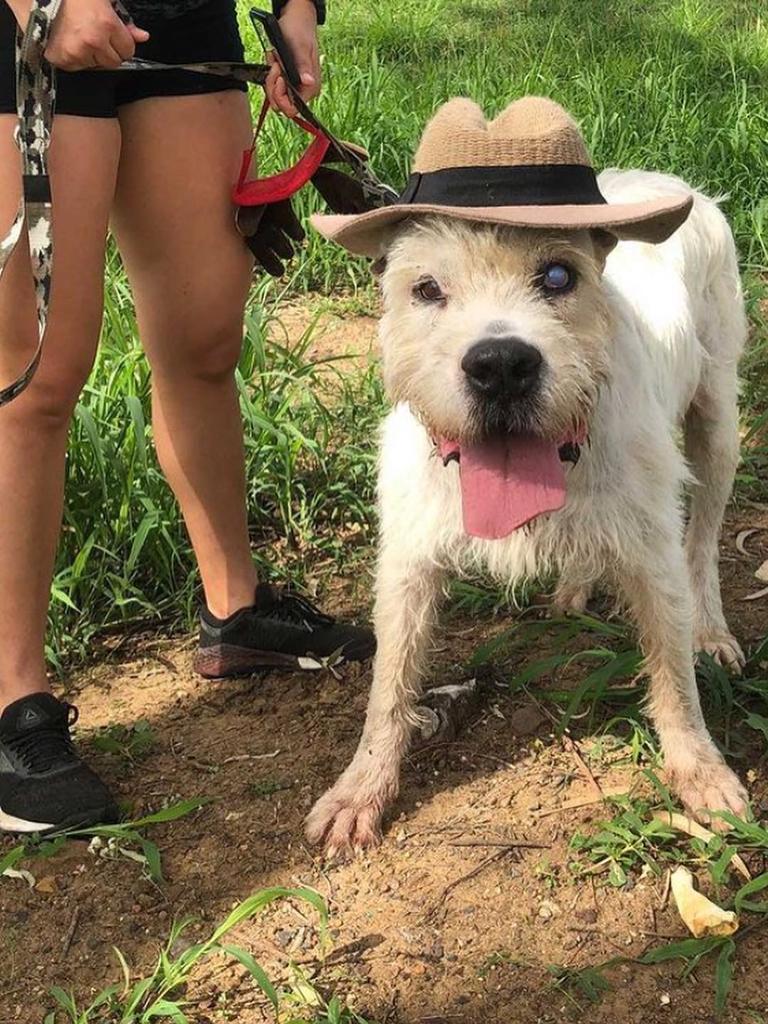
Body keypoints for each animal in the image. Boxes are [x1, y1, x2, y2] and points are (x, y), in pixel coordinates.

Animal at [309, 172, 753, 860]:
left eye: (558, 276)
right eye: (426, 288)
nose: (500, 367)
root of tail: (674, 183)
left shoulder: (655, 559)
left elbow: (675, 677)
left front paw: (702, 773)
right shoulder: (408, 562)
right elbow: (389, 682)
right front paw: (360, 790)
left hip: (718, 421)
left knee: (703, 541)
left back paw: (710, 630)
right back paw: (574, 589)